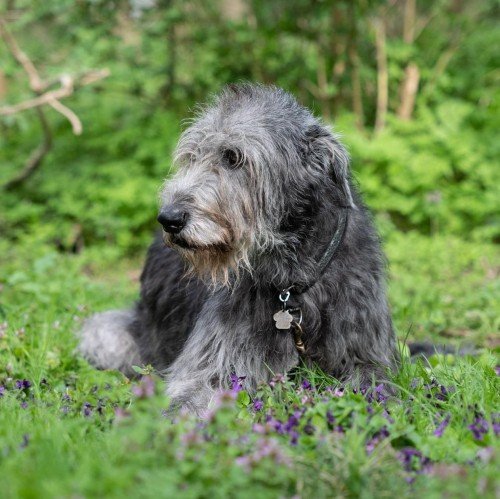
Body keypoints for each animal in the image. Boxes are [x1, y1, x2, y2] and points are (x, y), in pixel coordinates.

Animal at [79, 84, 398, 416]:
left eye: (234, 158)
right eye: (191, 156)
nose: (168, 218)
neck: (293, 281)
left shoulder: (367, 354)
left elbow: (374, 385)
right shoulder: (215, 361)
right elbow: (188, 397)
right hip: (109, 335)